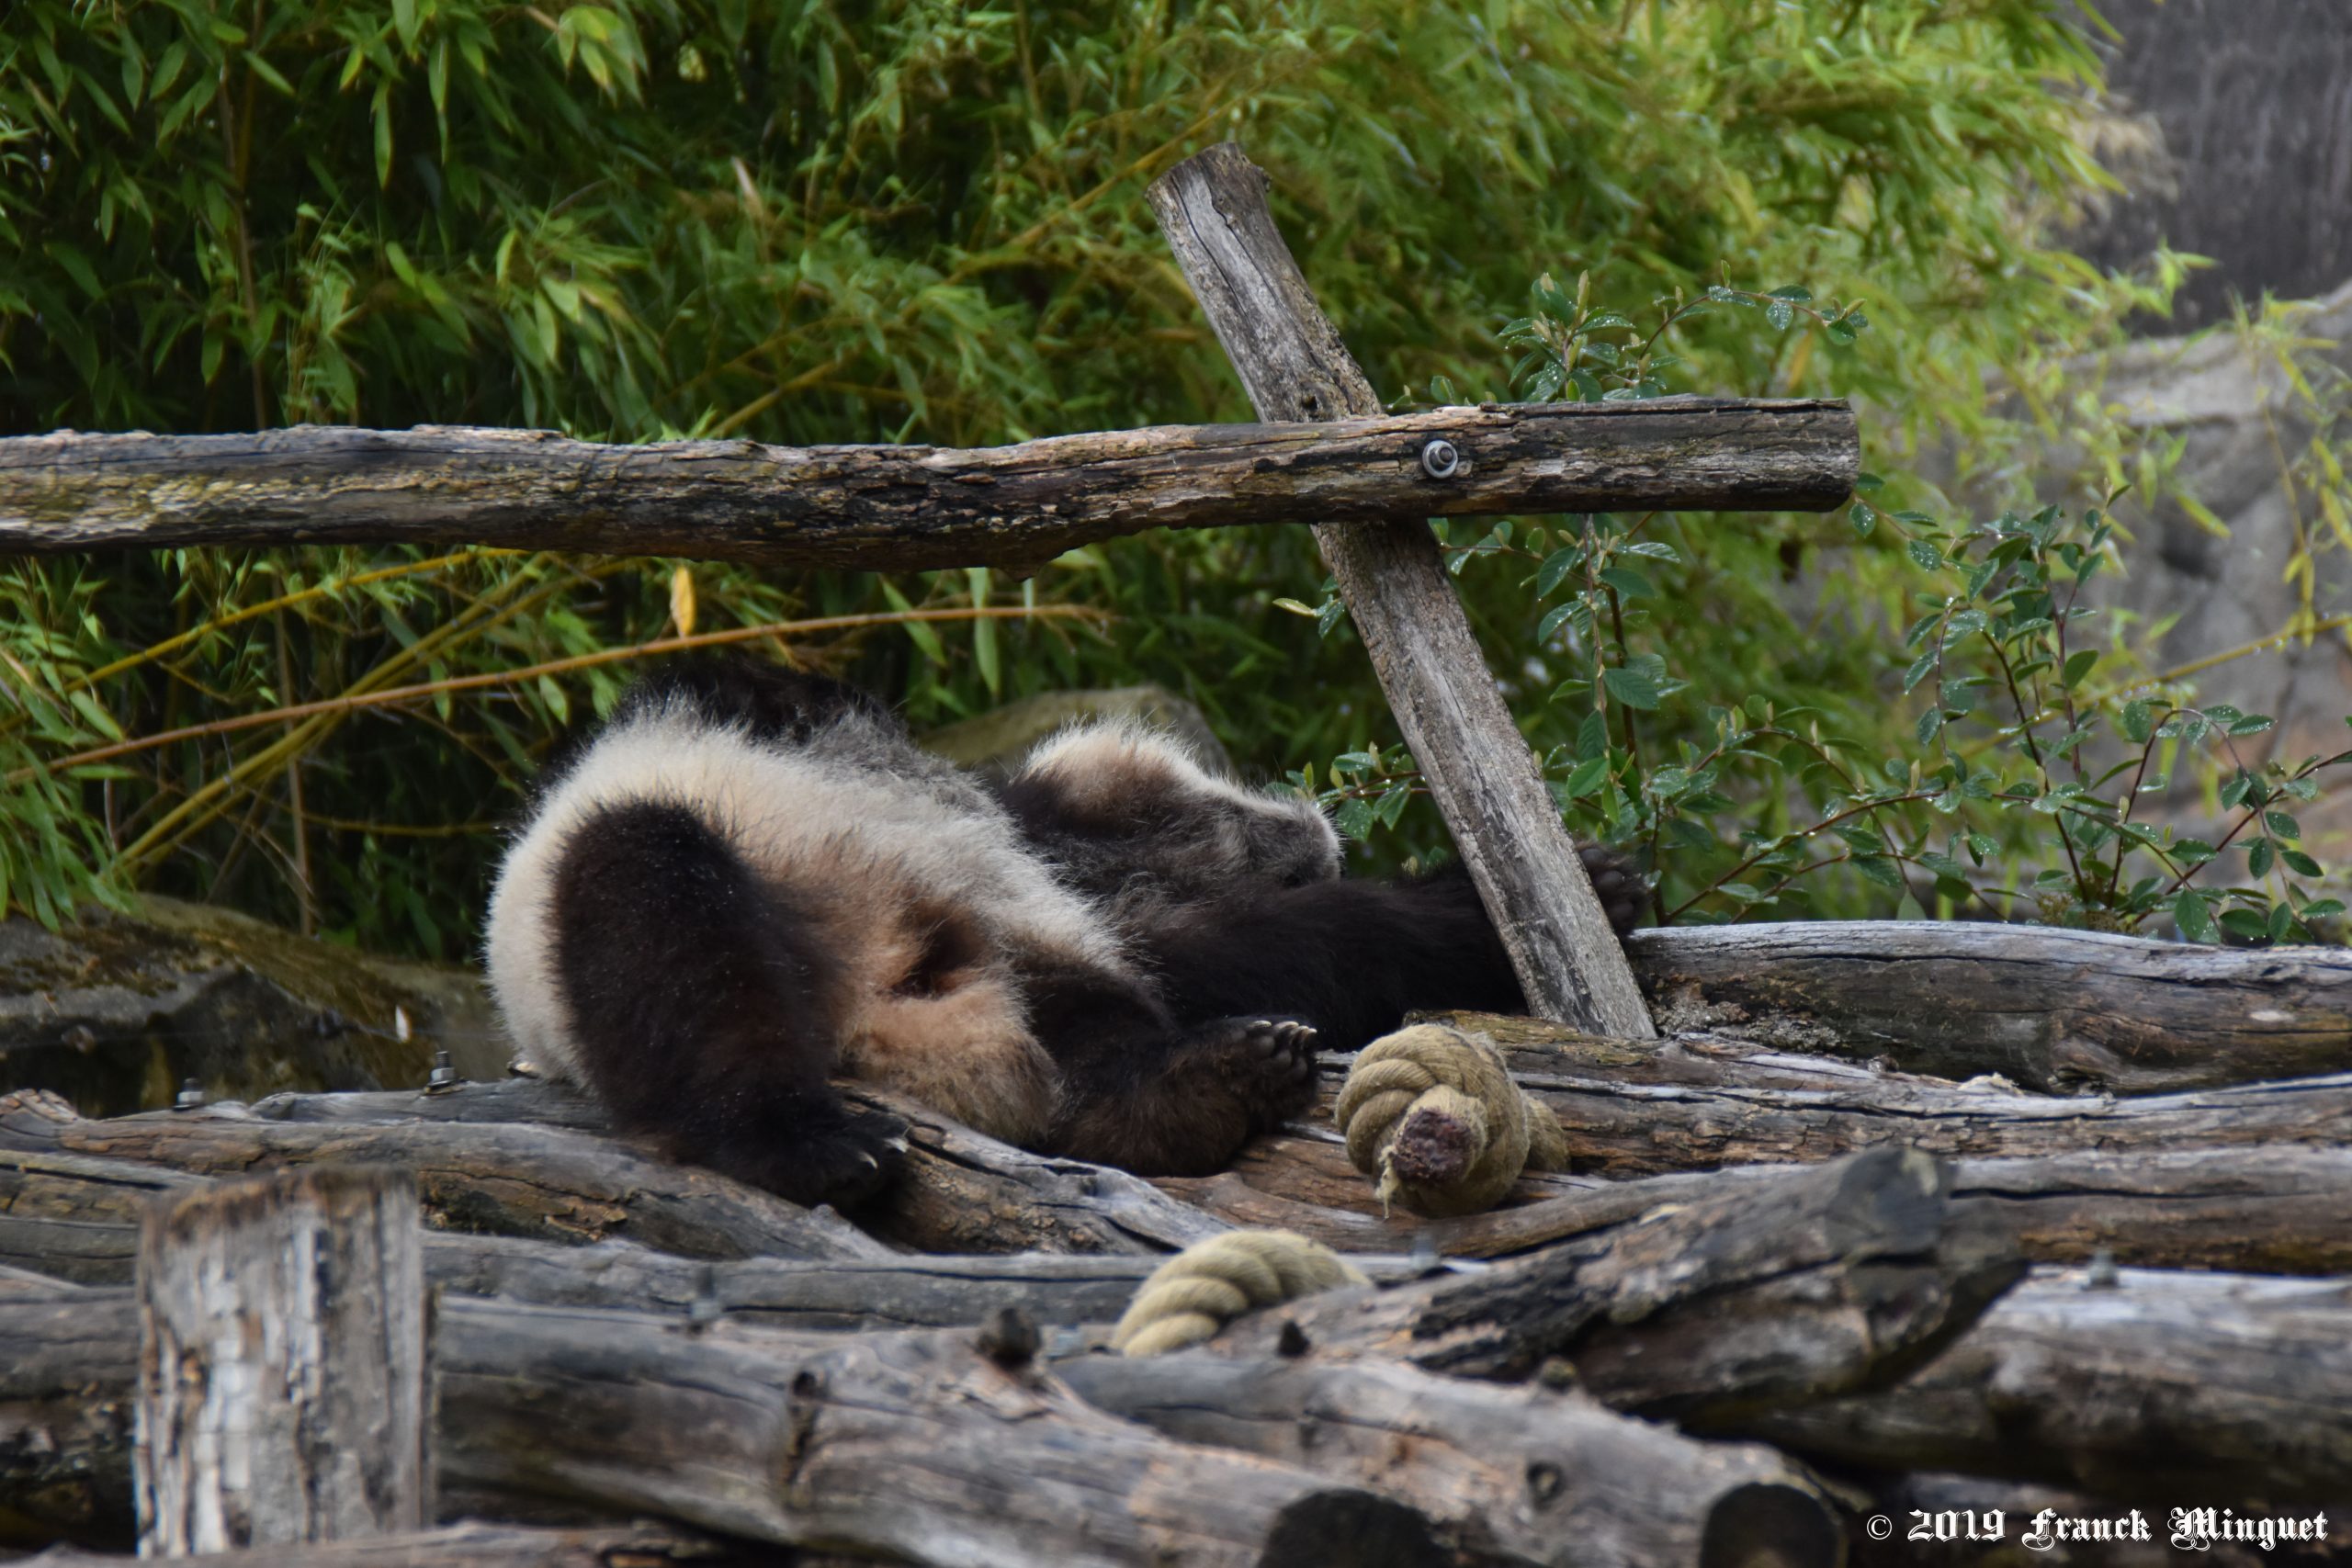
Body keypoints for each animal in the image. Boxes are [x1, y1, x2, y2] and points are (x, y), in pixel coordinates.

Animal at [483, 655, 1642, 1209]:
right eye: (1214, 788)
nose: (1313, 826)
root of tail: (882, 1028)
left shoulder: (1070, 893)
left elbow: (1265, 949)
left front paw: (1594, 888)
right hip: (606, 900)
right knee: (659, 913)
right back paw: (811, 1142)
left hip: (1015, 954)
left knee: (1085, 1031)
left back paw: (1186, 1091)